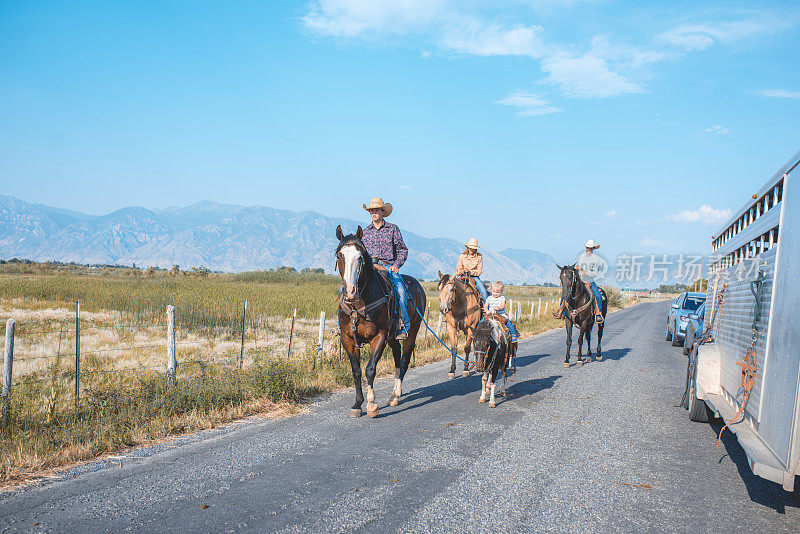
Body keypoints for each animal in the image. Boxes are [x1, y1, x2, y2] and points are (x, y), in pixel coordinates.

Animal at [334, 225, 428, 418]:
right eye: (339, 255)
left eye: (360, 257)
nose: (350, 292)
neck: (359, 304)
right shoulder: (347, 339)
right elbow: (356, 371)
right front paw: (357, 404)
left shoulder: (379, 336)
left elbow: (370, 369)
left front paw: (371, 405)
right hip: (393, 337)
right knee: (397, 357)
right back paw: (394, 394)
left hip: (411, 332)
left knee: (404, 360)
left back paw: (396, 396)